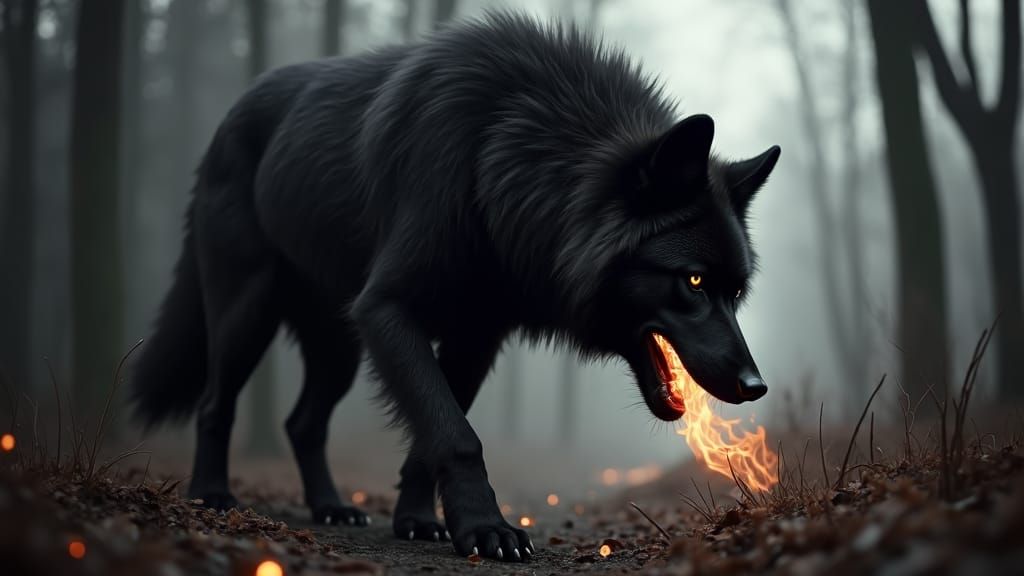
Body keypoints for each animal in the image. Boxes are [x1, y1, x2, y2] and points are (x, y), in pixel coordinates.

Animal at [129, 12, 779, 562]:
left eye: (736, 293)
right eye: (693, 282)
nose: (756, 387)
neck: (506, 157)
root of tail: (227, 118)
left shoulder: (475, 337)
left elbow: (433, 434)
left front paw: (419, 521)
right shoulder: (387, 308)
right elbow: (456, 434)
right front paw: (487, 529)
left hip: (339, 346)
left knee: (302, 423)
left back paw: (333, 508)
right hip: (251, 313)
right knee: (216, 404)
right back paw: (213, 496)